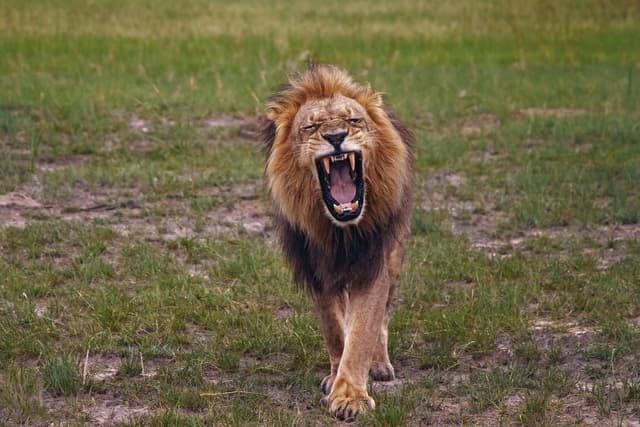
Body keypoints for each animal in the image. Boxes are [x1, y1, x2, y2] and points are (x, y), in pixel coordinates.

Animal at [262, 63, 414, 421]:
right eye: (312, 126)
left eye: (353, 120)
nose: (335, 137)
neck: (340, 232)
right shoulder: (316, 270)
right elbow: (335, 328)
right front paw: (335, 379)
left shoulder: (372, 265)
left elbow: (361, 333)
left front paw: (350, 398)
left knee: (383, 316)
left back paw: (380, 365)